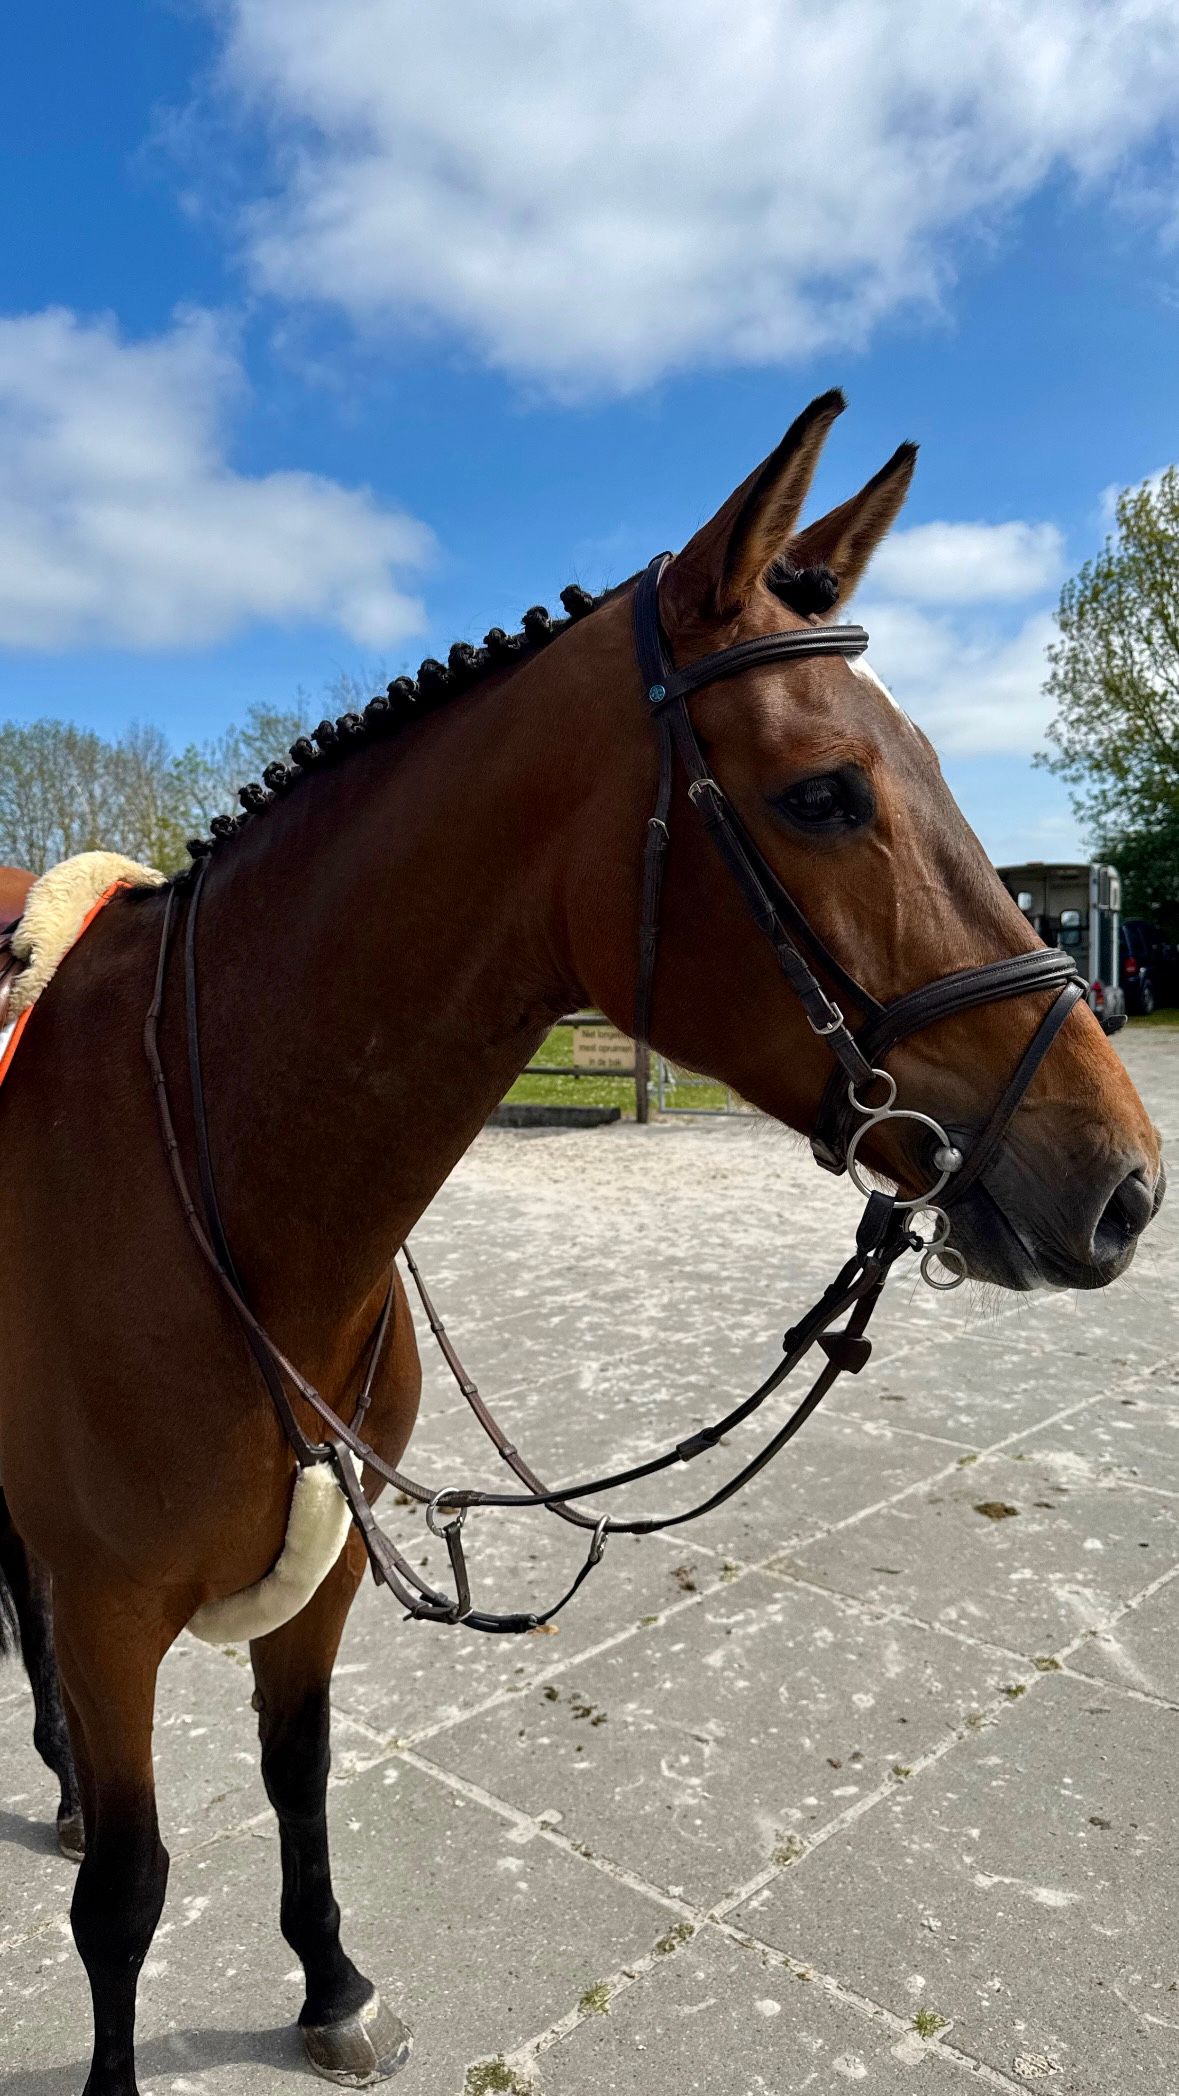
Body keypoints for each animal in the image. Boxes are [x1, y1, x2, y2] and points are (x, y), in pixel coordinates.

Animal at [0, 393, 1162, 2096]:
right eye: (824, 793)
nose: (1121, 1183)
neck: (218, 1184)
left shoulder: (324, 1578)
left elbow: (299, 1778)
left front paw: (332, 1984)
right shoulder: (108, 1611)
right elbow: (127, 1901)